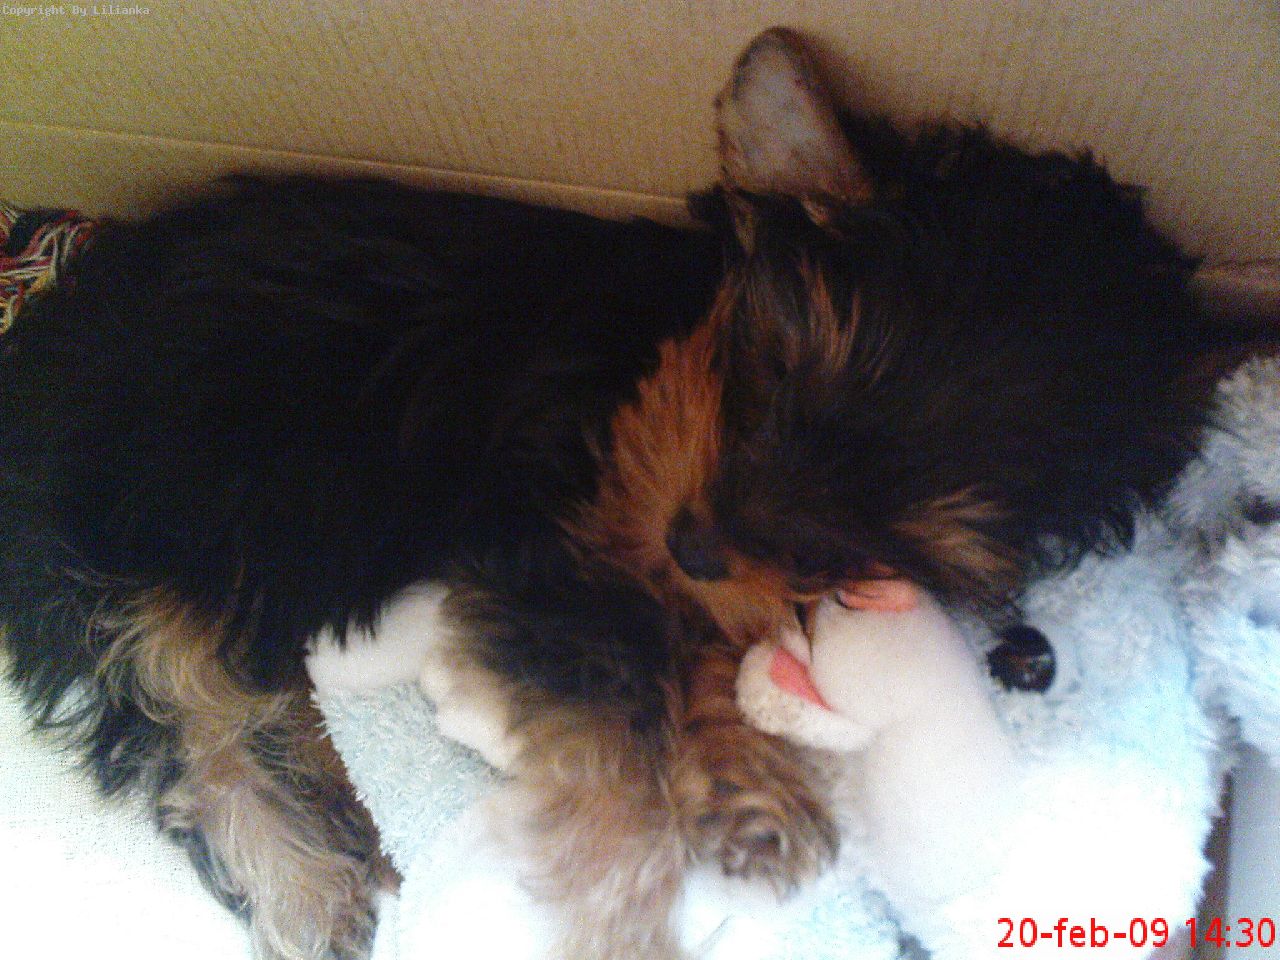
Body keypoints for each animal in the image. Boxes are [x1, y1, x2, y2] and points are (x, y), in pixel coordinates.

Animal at [0, 27, 1234, 960]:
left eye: (878, 544)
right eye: (772, 373)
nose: (697, 545)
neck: (652, 357)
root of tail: (40, 326)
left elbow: (701, 649)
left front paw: (748, 782)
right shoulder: (550, 552)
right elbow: (621, 734)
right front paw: (622, 901)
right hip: (143, 507)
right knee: (177, 703)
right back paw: (304, 884)